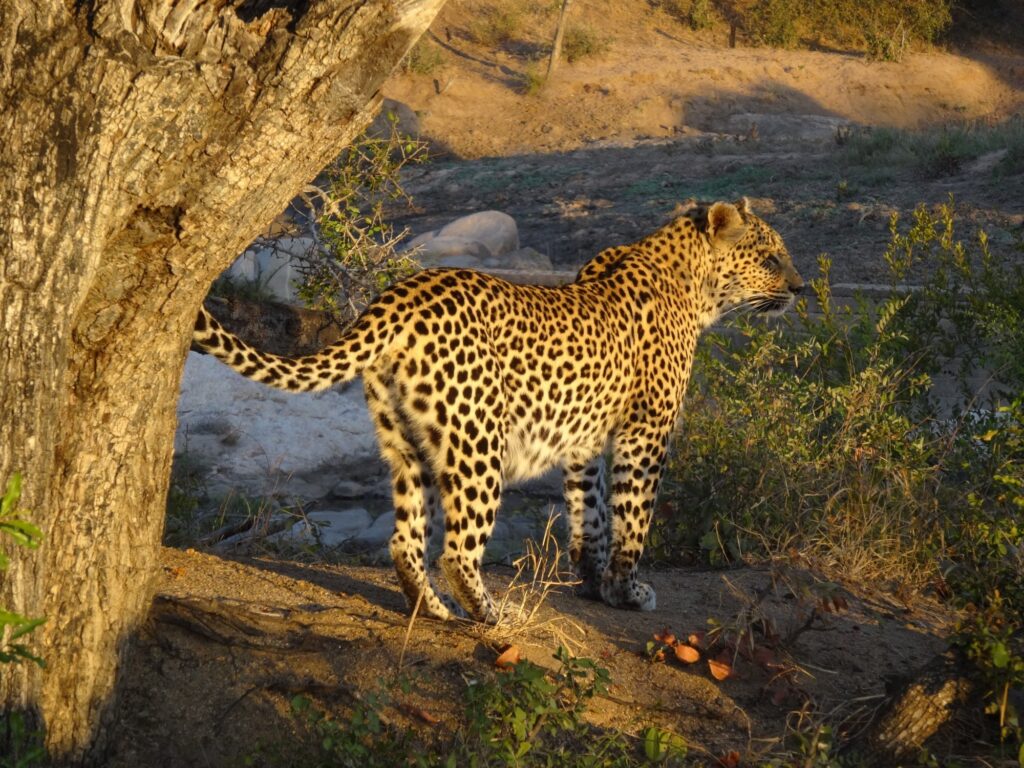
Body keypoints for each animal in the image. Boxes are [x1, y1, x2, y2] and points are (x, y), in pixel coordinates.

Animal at [190, 198, 798, 626]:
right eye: (771, 258)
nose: (802, 287)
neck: (695, 283)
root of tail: (398, 297)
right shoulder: (645, 433)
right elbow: (633, 516)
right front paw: (627, 590)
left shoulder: (584, 441)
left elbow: (591, 511)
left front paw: (593, 583)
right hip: (479, 441)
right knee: (458, 551)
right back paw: (490, 615)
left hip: (405, 443)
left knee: (405, 540)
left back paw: (435, 611)